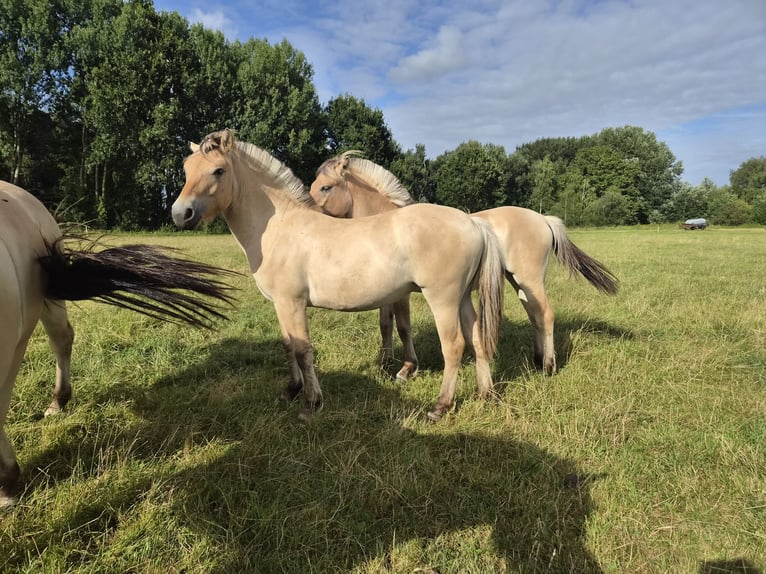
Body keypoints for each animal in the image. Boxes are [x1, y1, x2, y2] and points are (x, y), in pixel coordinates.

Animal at [171, 129, 505, 423]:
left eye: (218, 170)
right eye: (187, 169)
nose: (180, 214)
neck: (280, 227)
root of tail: (473, 223)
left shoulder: (292, 303)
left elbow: (303, 350)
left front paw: (311, 404)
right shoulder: (280, 305)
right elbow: (288, 345)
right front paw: (291, 391)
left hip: (443, 299)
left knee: (454, 345)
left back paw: (441, 406)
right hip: (462, 298)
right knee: (476, 337)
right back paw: (485, 394)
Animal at [309, 151, 619, 375]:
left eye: (325, 187)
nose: (308, 213)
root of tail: (543, 219)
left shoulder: (402, 295)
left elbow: (403, 327)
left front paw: (407, 369)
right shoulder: (387, 294)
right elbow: (385, 325)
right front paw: (387, 364)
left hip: (529, 279)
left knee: (546, 316)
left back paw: (549, 366)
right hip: (518, 282)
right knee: (535, 316)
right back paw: (537, 359)